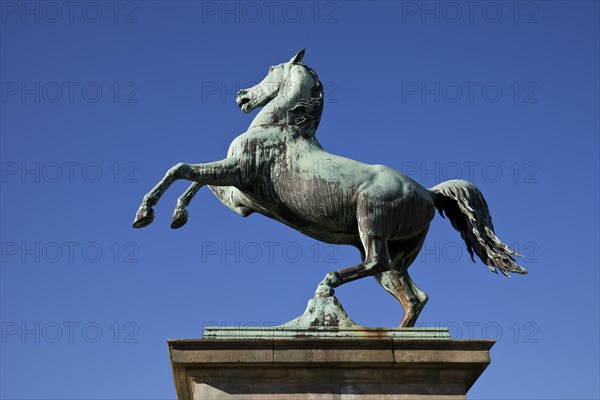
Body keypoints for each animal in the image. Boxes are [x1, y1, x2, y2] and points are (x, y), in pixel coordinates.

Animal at [134, 49, 528, 328]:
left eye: (271, 70)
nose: (242, 96)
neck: (281, 128)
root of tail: (430, 193)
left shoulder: (237, 172)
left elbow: (182, 169)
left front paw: (145, 213)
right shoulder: (240, 198)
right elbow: (194, 179)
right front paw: (177, 215)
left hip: (371, 226)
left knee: (376, 262)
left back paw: (329, 283)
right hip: (396, 256)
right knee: (414, 295)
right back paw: (396, 335)